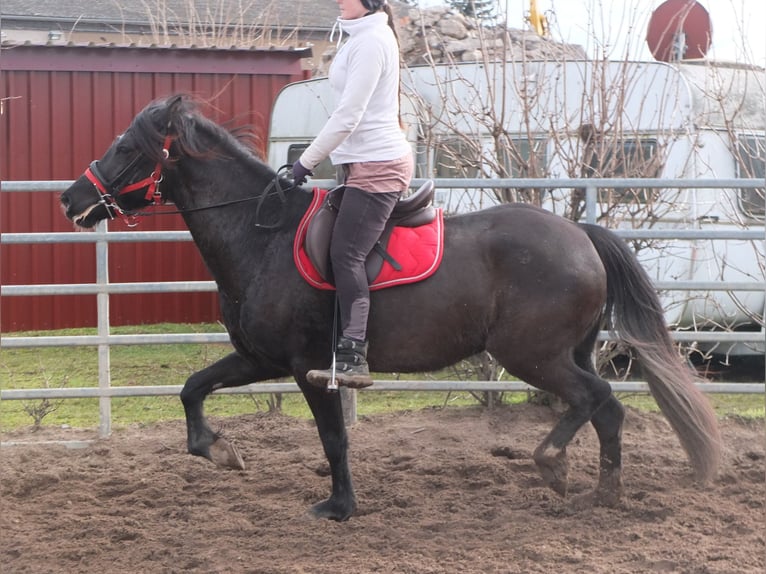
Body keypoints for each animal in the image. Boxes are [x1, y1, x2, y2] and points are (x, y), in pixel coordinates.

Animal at [58, 98, 720, 520]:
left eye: (124, 146)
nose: (71, 198)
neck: (260, 233)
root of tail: (581, 233)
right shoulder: (260, 359)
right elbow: (192, 389)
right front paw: (221, 450)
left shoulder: (308, 368)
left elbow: (333, 440)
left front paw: (339, 506)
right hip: (566, 352)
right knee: (607, 410)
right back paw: (603, 494)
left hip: (534, 355)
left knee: (595, 398)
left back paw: (554, 465)